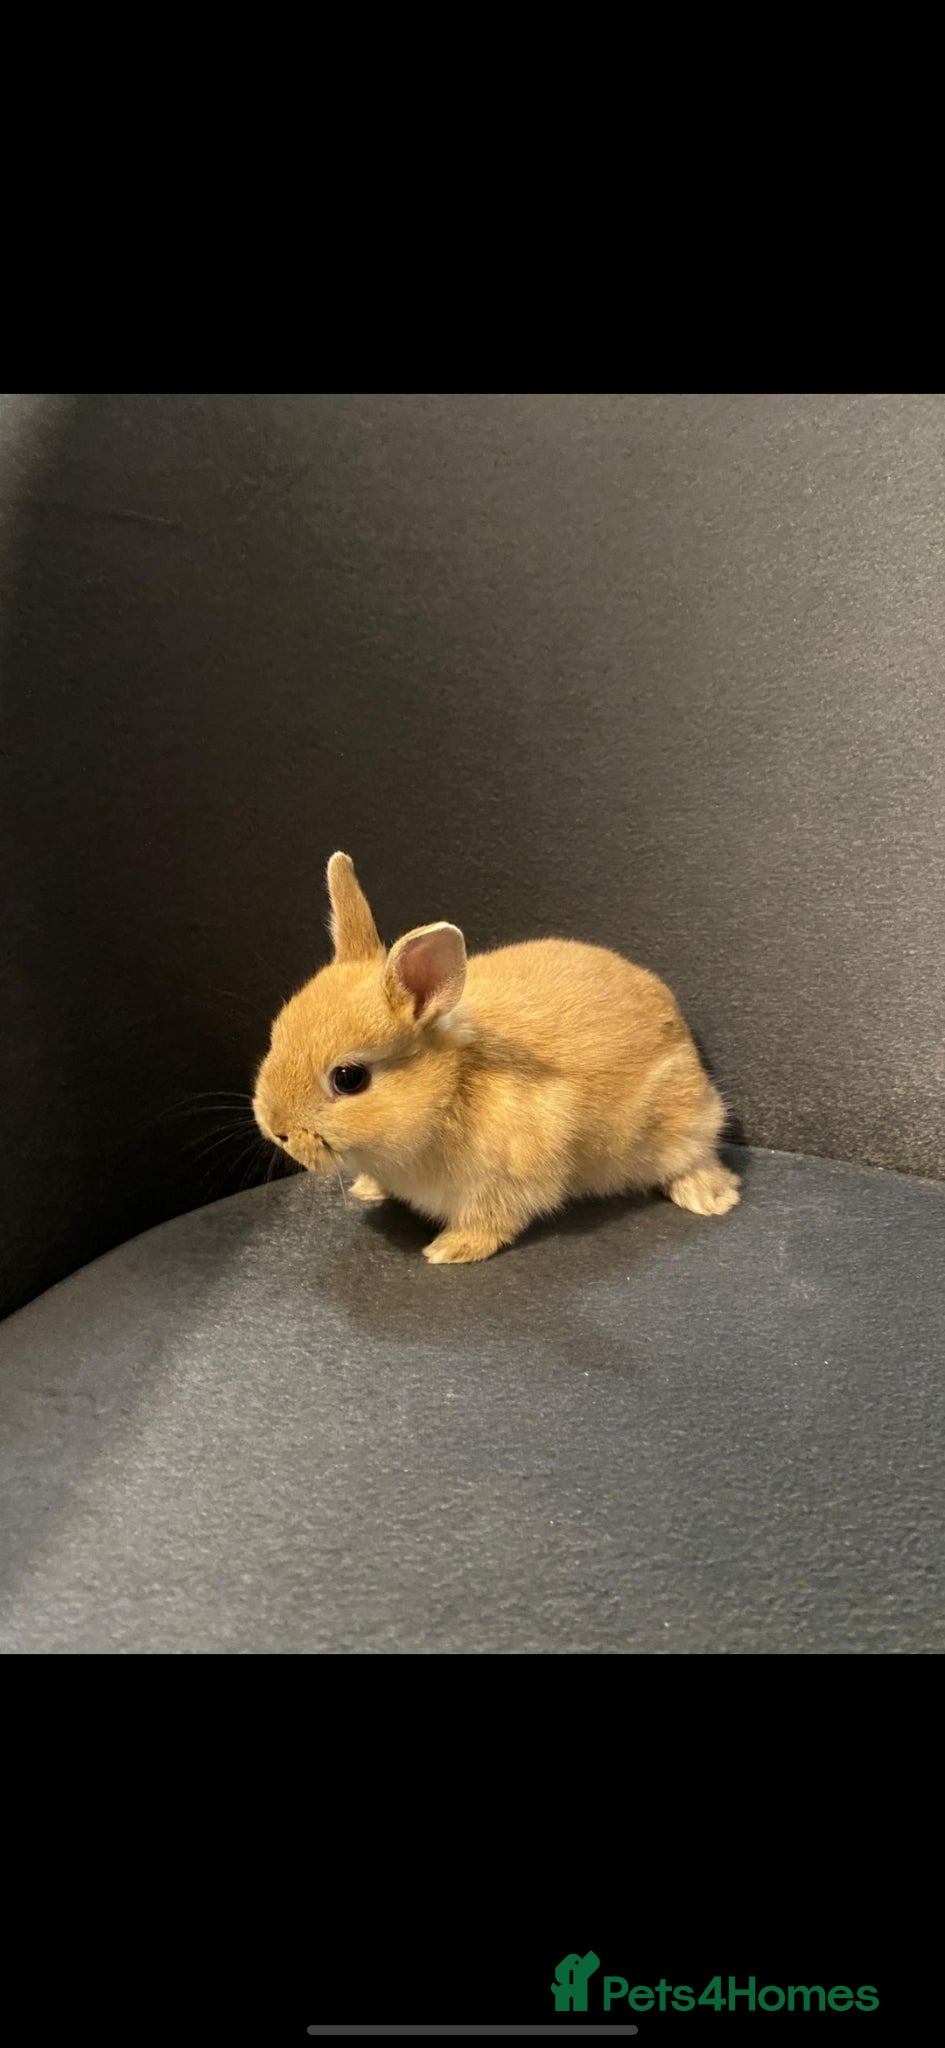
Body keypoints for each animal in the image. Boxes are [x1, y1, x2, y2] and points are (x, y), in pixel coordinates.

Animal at [252, 852, 740, 1264]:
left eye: (349, 1078)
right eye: (277, 1034)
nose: (277, 1130)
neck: (450, 1090)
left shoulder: (508, 1180)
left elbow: (492, 1220)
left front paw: (448, 1250)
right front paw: (367, 1190)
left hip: (680, 1123)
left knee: (698, 1157)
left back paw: (710, 1198)